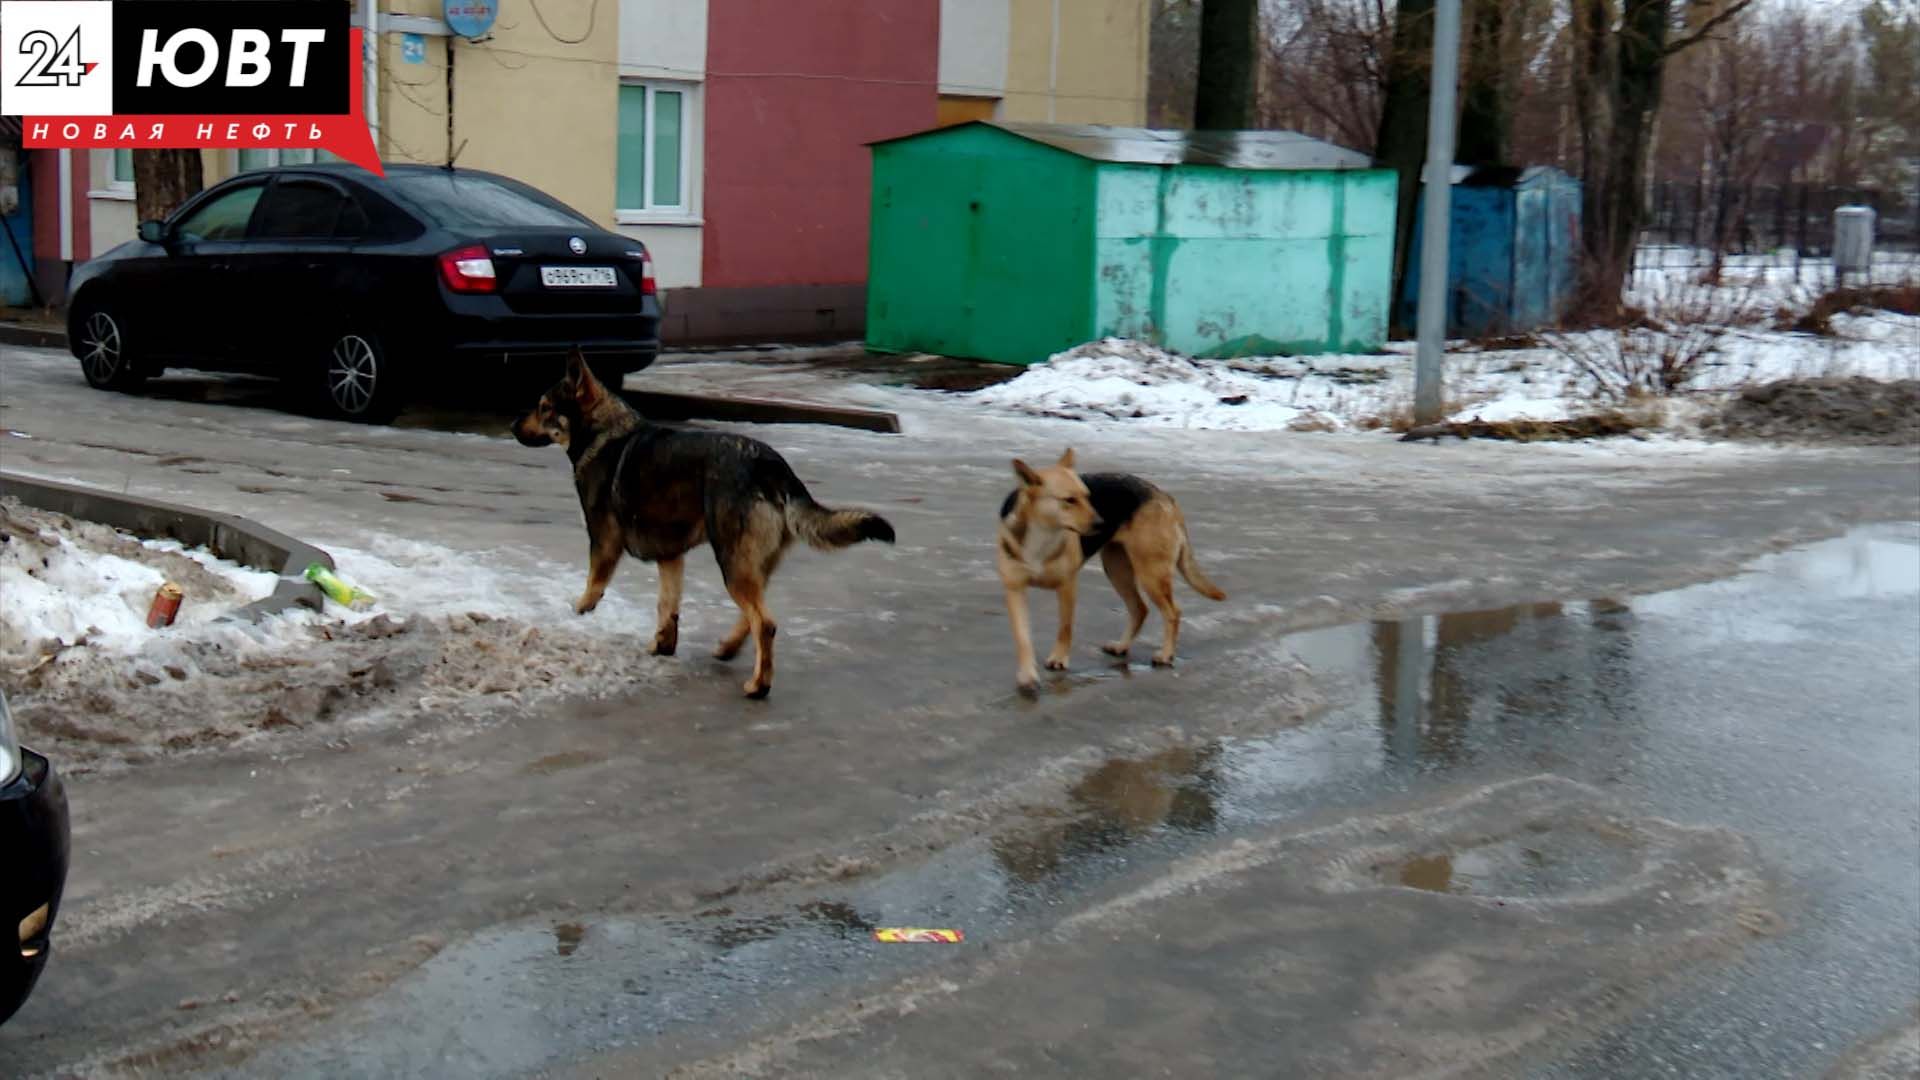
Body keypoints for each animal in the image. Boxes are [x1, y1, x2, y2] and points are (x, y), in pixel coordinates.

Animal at [514, 349, 894, 691]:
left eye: (544, 407)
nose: (514, 426)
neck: (603, 431)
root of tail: (771, 465)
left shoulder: (604, 541)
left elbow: (594, 585)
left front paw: (579, 611)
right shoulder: (670, 556)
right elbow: (667, 607)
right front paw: (662, 645)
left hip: (732, 560)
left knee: (765, 623)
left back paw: (759, 684)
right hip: (750, 564)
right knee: (753, 615)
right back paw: (728, 648)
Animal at [998, 445, 1221, 687]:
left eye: (1088, 497)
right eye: (1069, 500)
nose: (1102, 523)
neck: (1043, 534)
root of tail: (1164, 496)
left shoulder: (1067, 587)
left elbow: (1065, 628)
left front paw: (1058, 658)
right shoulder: (1015, 590)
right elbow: (1023, 637)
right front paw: (1027, 673)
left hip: (1150, 574)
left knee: (1172, 612)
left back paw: (1165, 655)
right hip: (1117, 570)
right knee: (1139, 609)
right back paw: (1122, 646)